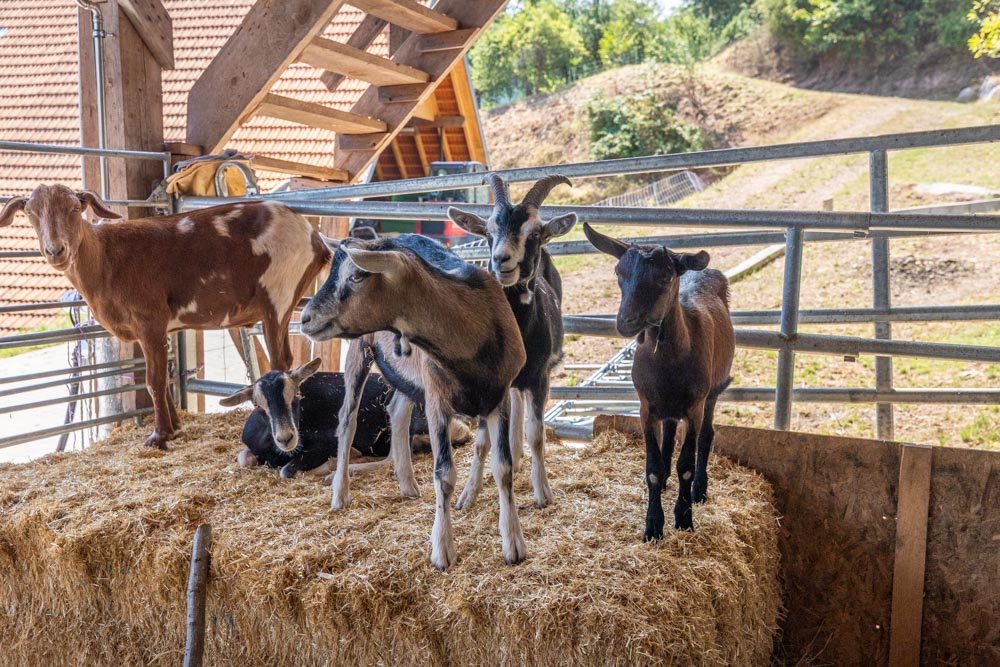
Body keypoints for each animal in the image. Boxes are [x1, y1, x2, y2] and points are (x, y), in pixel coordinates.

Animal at [0, 185, 329, 449]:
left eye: (74, 208)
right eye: (30, 212)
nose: (56, 251)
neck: (106, 258)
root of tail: (314, 238)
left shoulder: (149, 320)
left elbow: (153, 381)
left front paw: (159, 435)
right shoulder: (160, 328)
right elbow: (166, 374)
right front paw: (175, 425)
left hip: (278, 296)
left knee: (281, 361)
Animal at [220, 358, 472, 478]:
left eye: (296, 396)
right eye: (258, 406)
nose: (286, 438)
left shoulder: (327, 441)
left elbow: (286, 470)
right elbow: (243, 459)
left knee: (394, 459)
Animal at [299, 233, 527, 569]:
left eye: (357, 275)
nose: (305, 318)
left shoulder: (499, 397)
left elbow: (504, 467)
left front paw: (514, 545)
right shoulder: (436, 401)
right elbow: (444, 474)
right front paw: (442, 551)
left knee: (396, 409)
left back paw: (407, 484)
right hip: (359, 350)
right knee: (347, 419)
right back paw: (340, 494)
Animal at [447, 174, 576, 509]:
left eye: (534, 233)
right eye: (488, 232)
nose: (500, 260)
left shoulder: (540, 377)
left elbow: (537, 434)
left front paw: (542, 492)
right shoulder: (489, 383)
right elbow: (481, 442)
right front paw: (468, 494)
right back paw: (515, 457)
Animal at [583, 224, 734, 537]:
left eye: (665, 277)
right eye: (618, 271)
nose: (626, 321)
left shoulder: (694, 407)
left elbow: (686, 465)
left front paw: (684, 518)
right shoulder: (646, 407)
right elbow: (652, 468)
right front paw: (653, 525)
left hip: (712, 392)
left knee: (707, 435)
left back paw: (700, 490)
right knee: (669, 430)